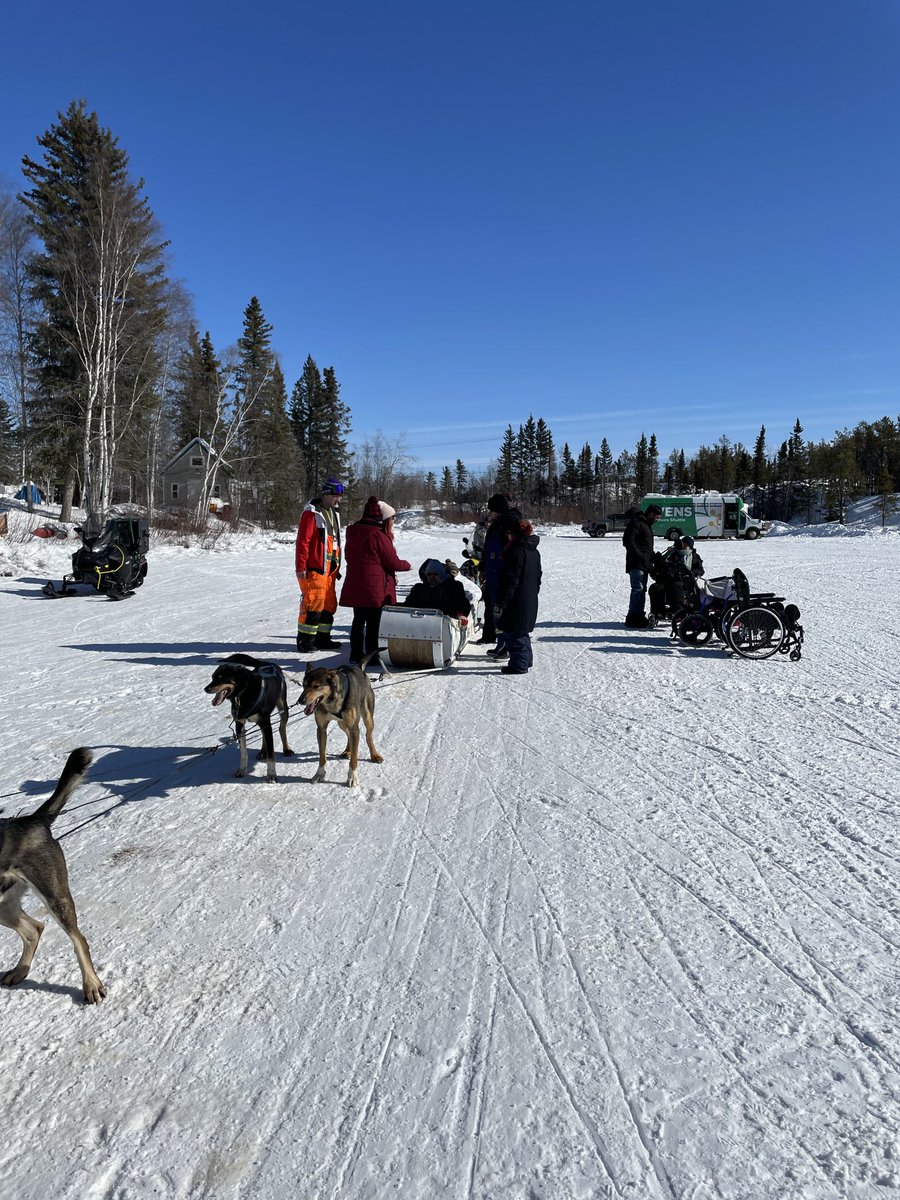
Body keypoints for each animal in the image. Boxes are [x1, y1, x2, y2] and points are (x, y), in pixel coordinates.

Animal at [0, 748, 106, 1003]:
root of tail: (33, 820)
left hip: (56, 897)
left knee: (79, 940)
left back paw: (91, 984)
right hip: (4, 906)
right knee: (34, 929)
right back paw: (20, 971)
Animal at [204, 652, 292, 782]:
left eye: (221, 678)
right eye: (213, 677)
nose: (206, 689)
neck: (243, 693)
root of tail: (266, 663)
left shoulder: (266, 723)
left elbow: (271, 755)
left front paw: (271, 774)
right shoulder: (239, 724)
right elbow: (243, 752)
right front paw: (241, 770)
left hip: (283, 708)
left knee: (282, 728)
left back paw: (286, 749)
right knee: (263, 734)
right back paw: (262, 751)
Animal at [301, 652, 381, 782]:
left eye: (316, 686)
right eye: (304, 685)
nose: (300, 700)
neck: (332, 701)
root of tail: (359, 668)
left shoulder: (354, 728)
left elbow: (354, 758)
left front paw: (352, 777)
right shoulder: (321, 729)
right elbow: (322, 755)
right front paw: (320, 773)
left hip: (368, 718)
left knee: (368, 736)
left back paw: (374, 754)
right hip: (342, 723)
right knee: (348, 734)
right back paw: (348, 750)